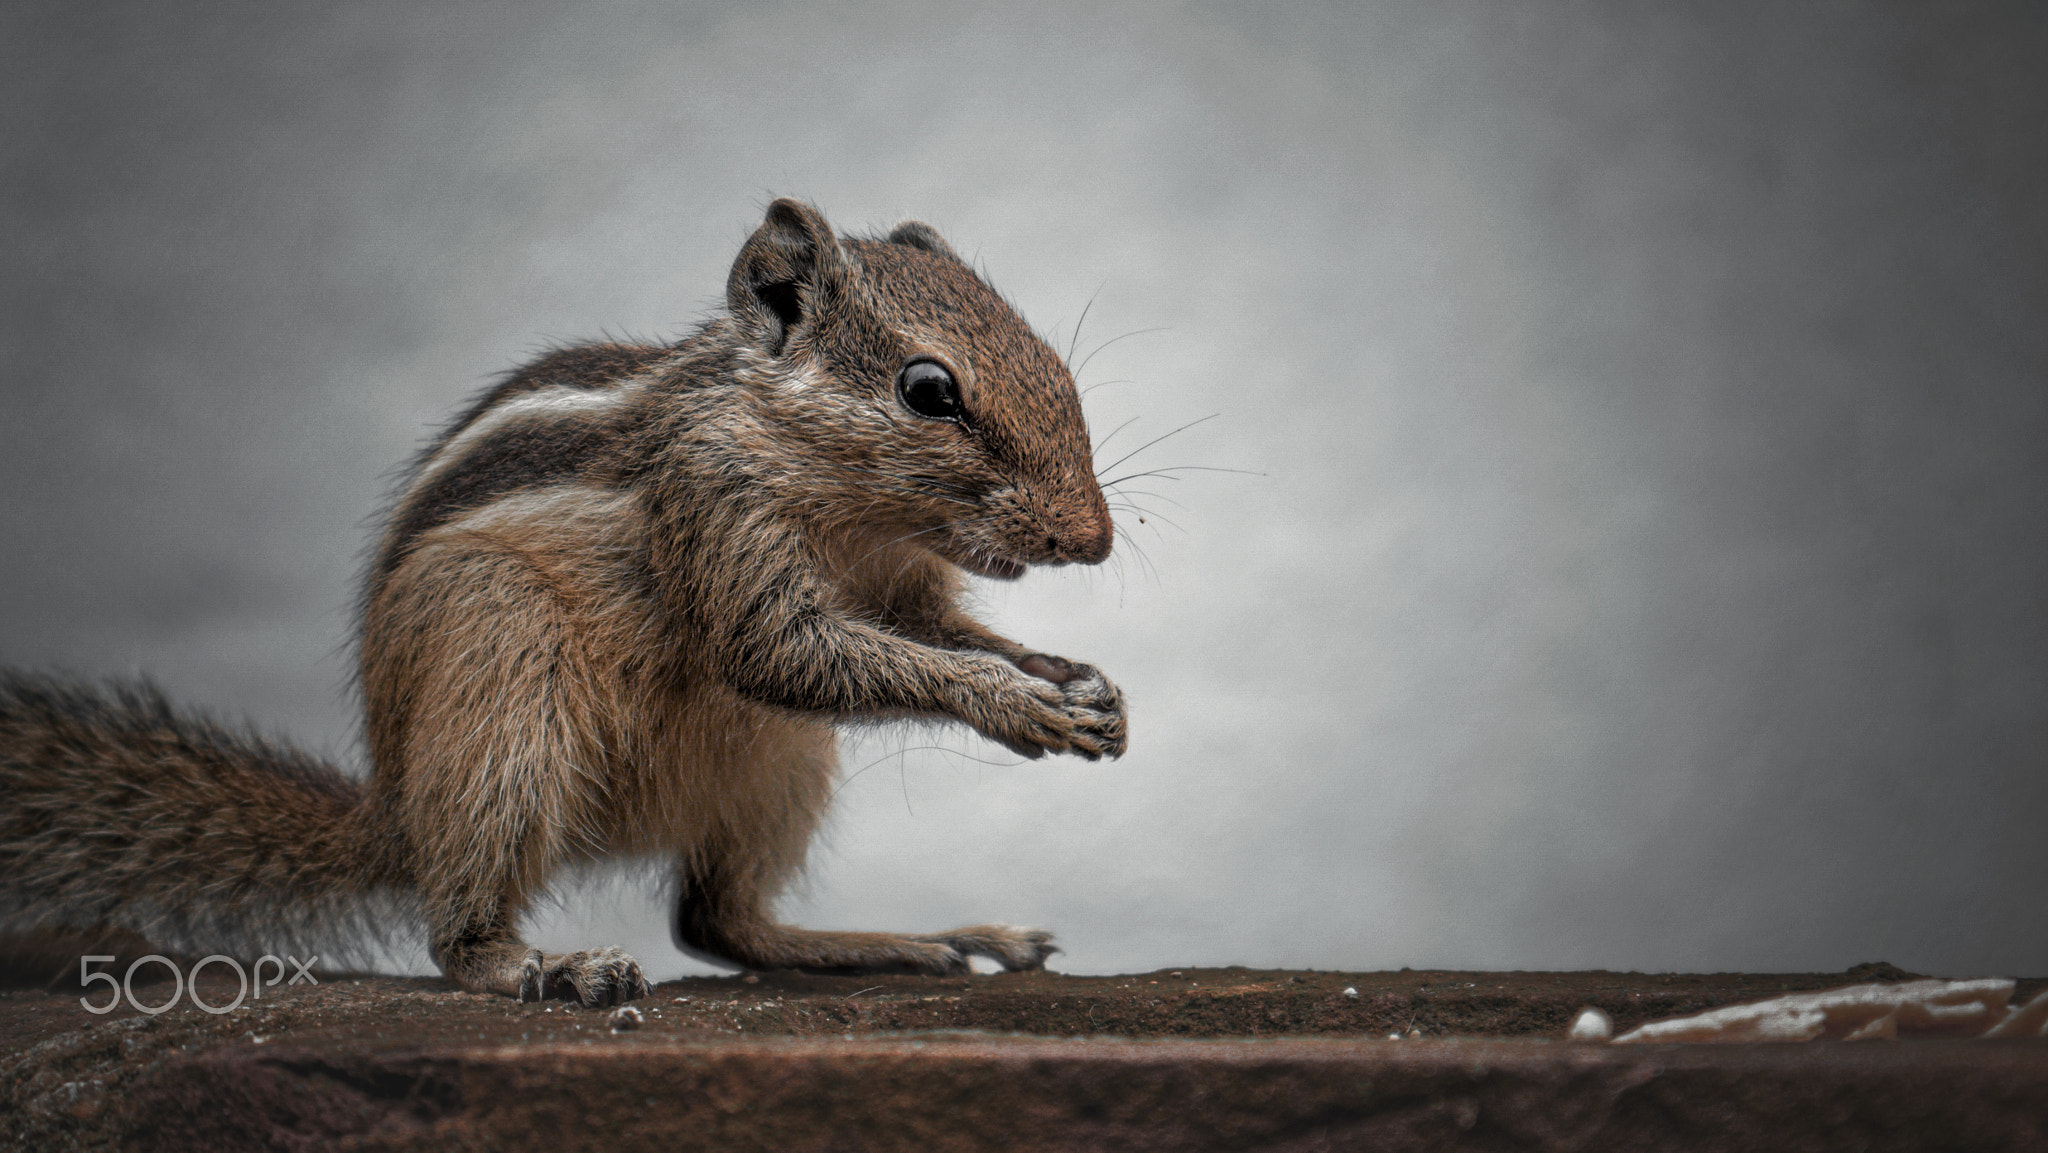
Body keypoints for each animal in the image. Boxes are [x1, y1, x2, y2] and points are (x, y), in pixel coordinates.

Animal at [0, 199, 1128, 1007]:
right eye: (929, 390)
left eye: (1048, 356)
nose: (1093, 539)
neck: (845, 500)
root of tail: (394, 808)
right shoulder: (713, 510)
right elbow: (778, 649)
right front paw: (1013, 701)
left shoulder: (897, 587)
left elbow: (934, 632)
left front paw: (1071, 679)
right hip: (501, 672)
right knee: (458, 930)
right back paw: (538, 966)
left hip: (778, 760)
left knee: (720, 922)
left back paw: (909, 941)